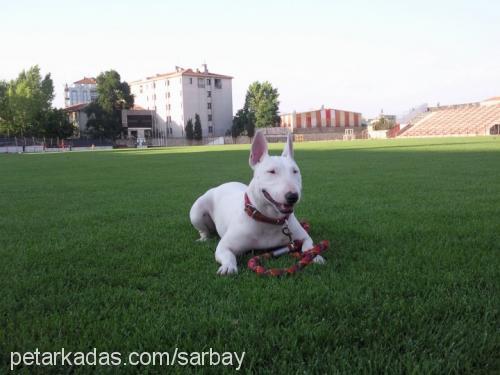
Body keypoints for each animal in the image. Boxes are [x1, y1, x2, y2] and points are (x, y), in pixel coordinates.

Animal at [188, 131, 324, 274]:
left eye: (295, 171)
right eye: (271, 171)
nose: (292, 196)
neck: (268, 219)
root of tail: (221, 185)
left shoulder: (303, 236)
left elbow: (308, 245)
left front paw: (315, 256)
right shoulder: (224, 246)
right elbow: (228, 254)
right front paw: (228, 266)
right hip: (196, 212)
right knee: (203, 230)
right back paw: (203, 239)